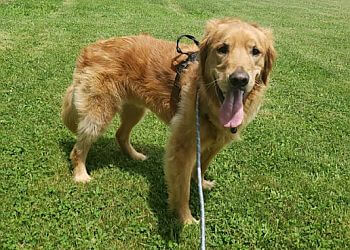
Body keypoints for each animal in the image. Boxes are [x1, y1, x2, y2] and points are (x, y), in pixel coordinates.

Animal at [62, 18, 276, 224]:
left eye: (255, 51)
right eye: (222, 48)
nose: (239, 79)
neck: (207, 97)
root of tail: (92, 47)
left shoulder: (215, 143)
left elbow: (202, 167)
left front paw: (201, 183)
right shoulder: (183, 147)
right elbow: (182, 190)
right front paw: (186, 219)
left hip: (135, 109)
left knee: (120, 134)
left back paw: (134, 155)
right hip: (98, 113)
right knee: (78, 148)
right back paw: (80, 174)